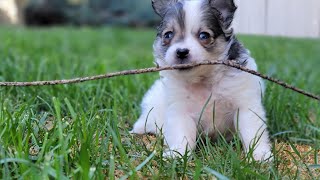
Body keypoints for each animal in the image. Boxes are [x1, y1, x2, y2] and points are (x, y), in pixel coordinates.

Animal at [130, 0, 272, 161]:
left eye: (204, 35)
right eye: (168, 34)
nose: (181, 52)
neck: (203, 79)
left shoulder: (245, 106)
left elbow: (252, 132)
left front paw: (259, 155)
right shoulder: (180, 111)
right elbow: (182, 135)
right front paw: (178, 155)